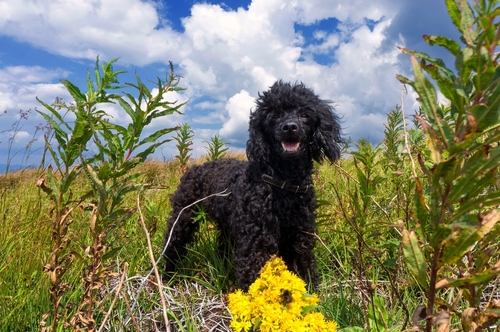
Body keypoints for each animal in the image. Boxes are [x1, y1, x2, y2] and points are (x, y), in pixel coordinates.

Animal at [162, 80, 342, 290]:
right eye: (275, 114)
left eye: (304, 114)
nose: (290, 127)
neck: (284, 185)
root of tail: (194, 168)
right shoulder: (257, 240)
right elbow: (253, 276)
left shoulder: (299, 236)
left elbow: (303, 270)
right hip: (183, 218)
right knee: (172, 245)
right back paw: (165, 277)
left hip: (227, 226)